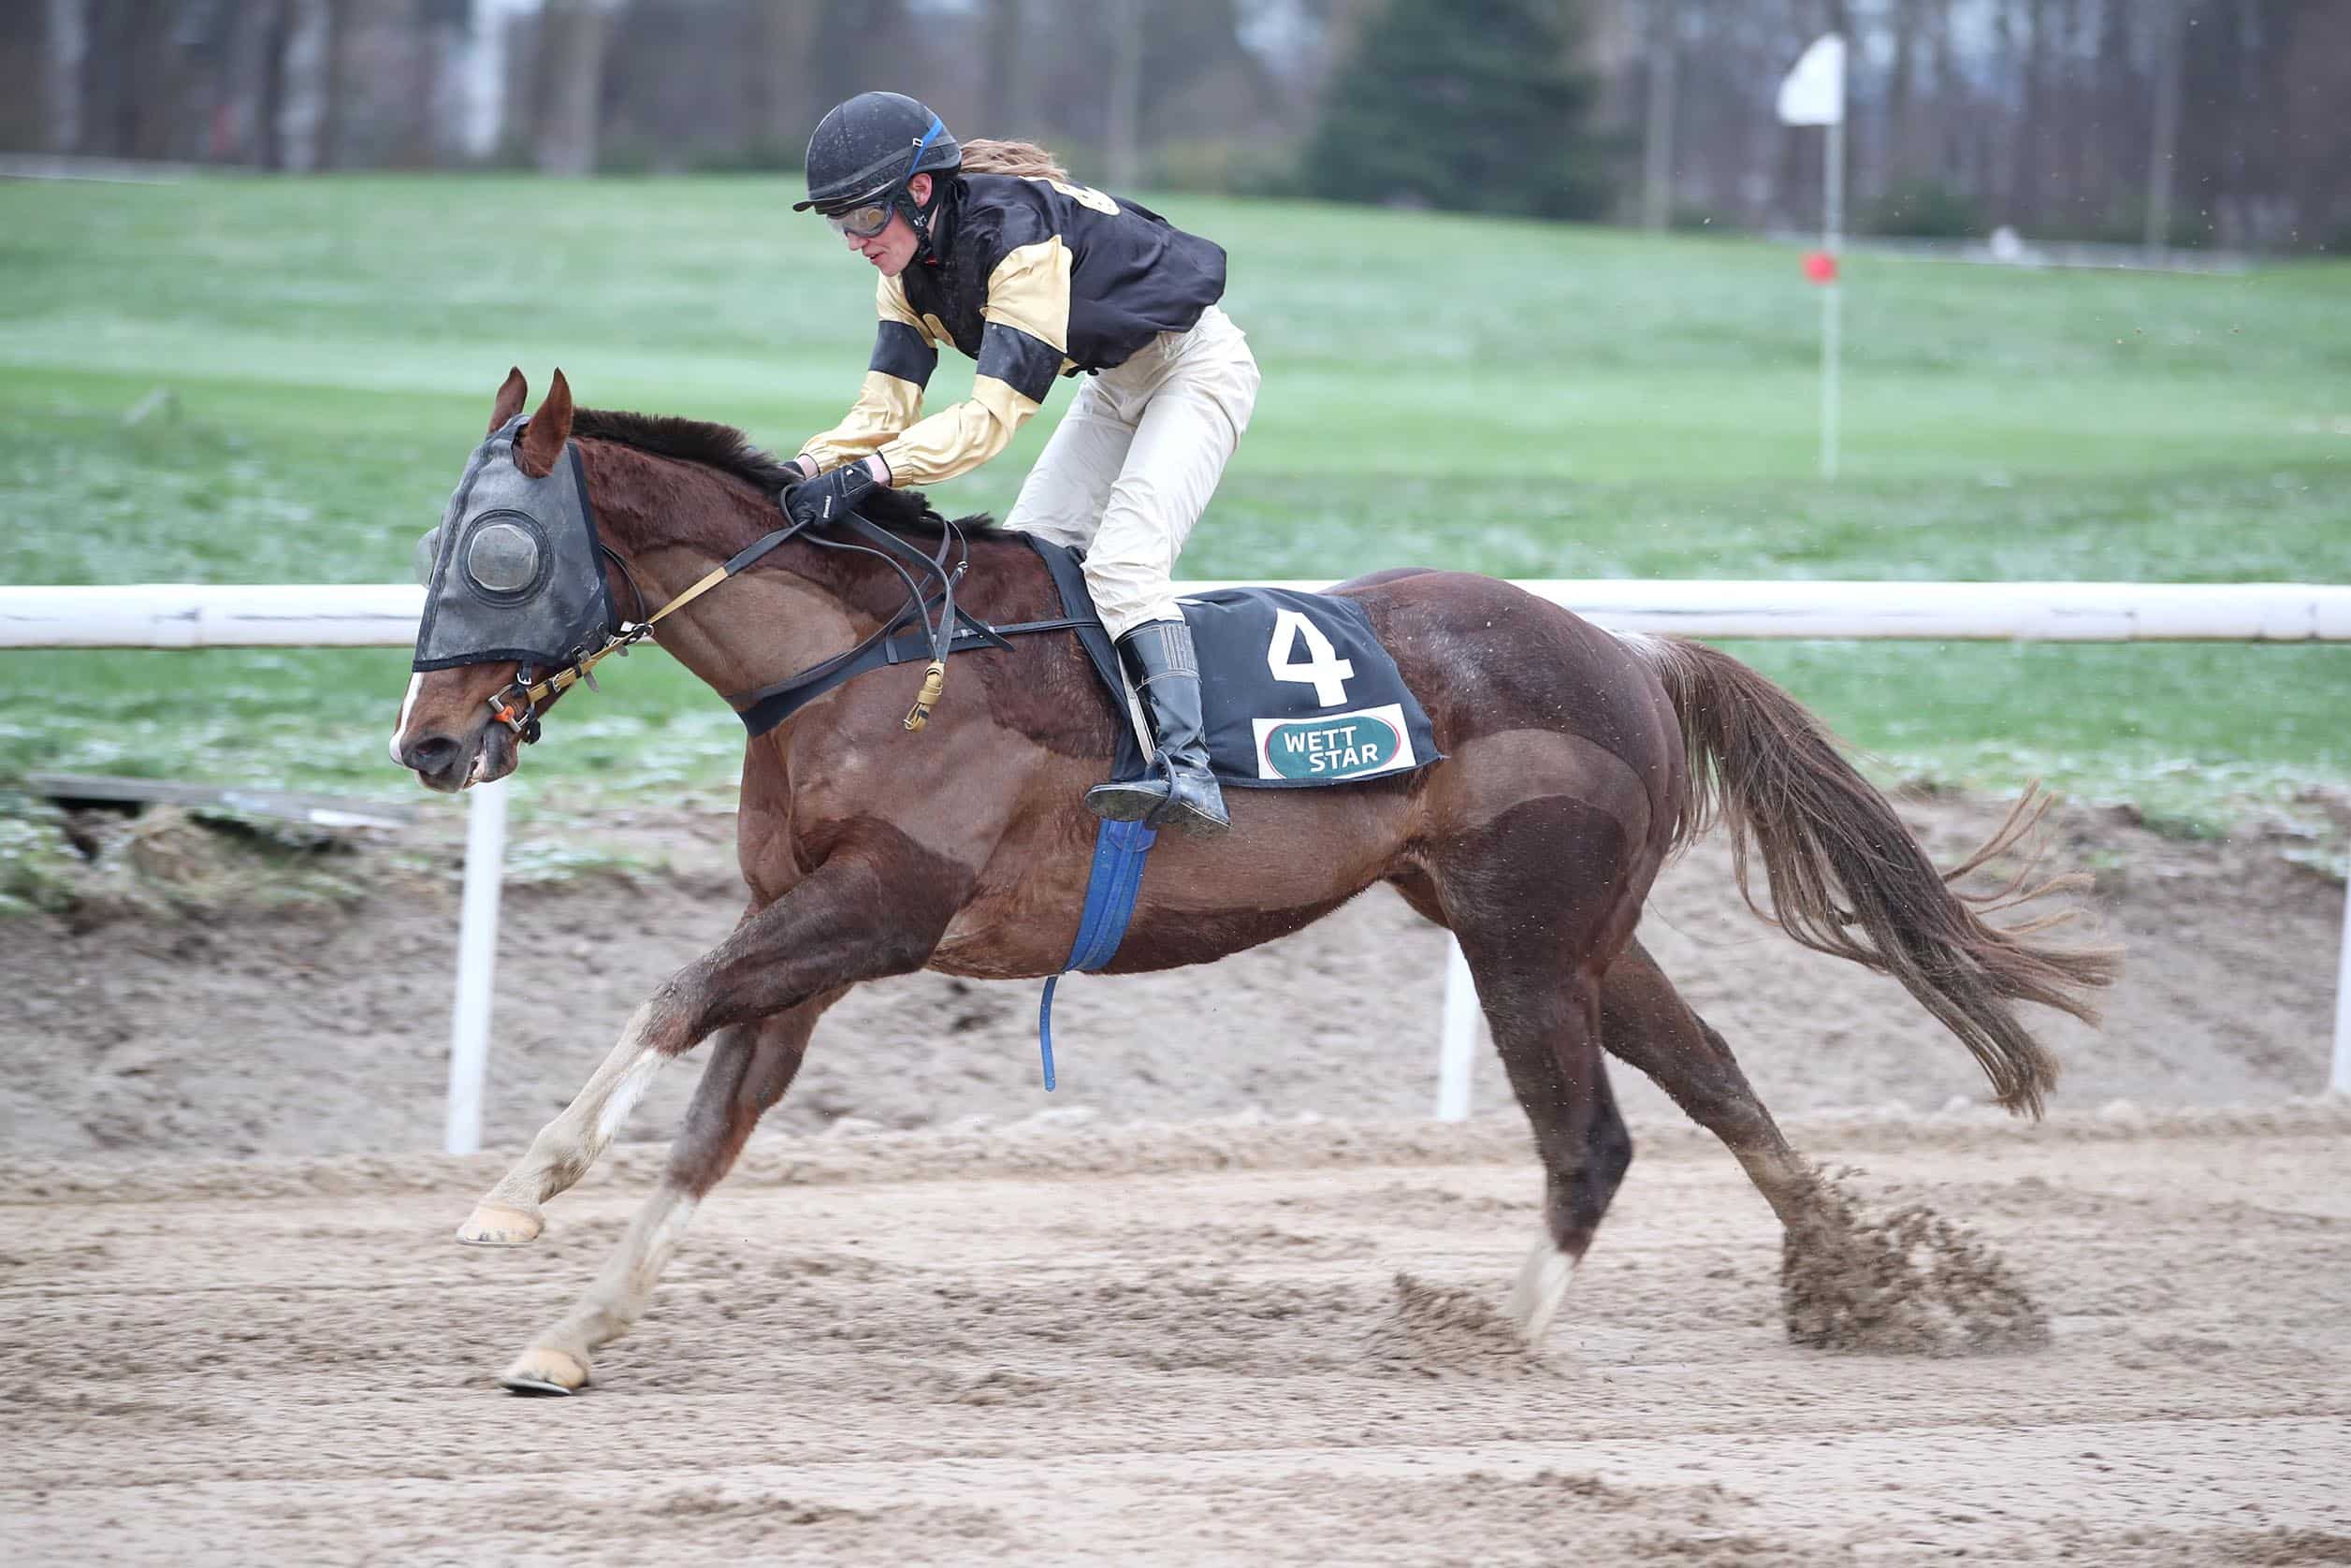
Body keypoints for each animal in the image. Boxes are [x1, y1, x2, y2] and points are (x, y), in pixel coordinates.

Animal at [385, 371, 2115, 1401]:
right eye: (434, 542)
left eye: (494, 552)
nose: (429, 742)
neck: (862, 661)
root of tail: (1632, 651)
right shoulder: (809, 940)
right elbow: (706, 1133)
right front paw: (570, 1335)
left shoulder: (877, 912)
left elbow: (669, 997)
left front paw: (512, 1195)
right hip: (1574, 935)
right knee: (1718, 1084)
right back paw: (1864, 1288)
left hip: (1524, 939)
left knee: (1593, 1139)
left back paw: (1492, 1344)